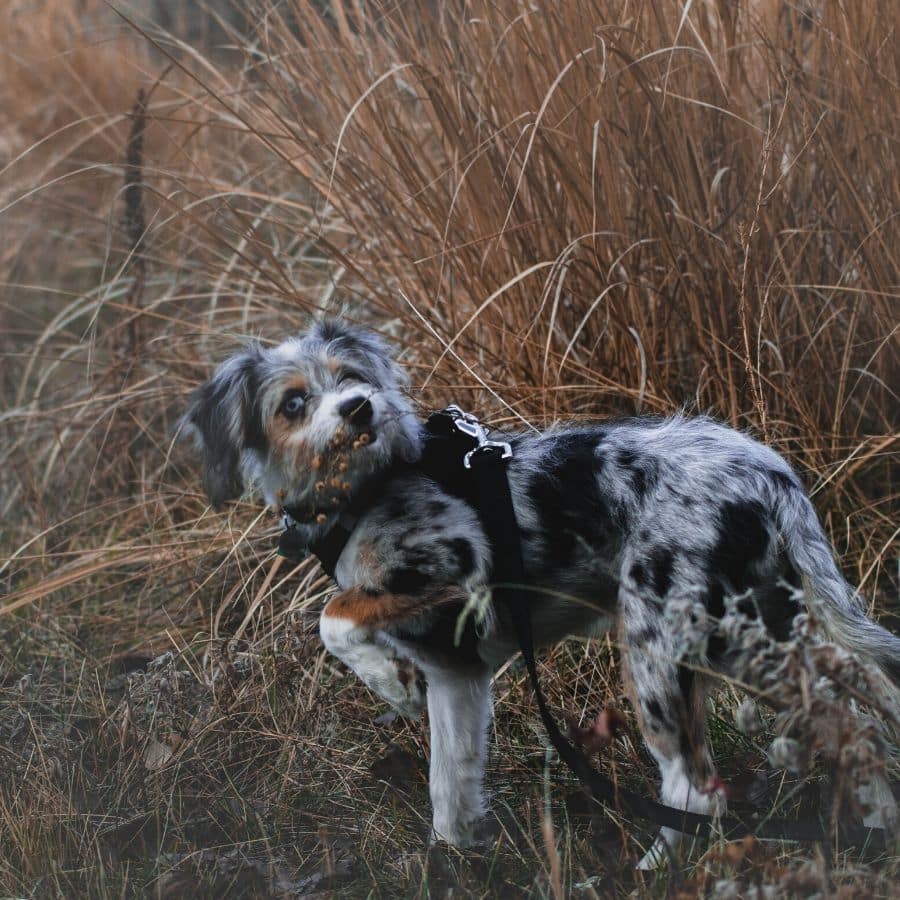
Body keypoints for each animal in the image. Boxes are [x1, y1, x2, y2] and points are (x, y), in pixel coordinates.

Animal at [185, 316, 900, 864]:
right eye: (294, 403)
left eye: (352, 378)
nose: (361, 407)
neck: (365, 489)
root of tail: (772, 473)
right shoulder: (457, 674)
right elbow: (450, 785)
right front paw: (462, 859)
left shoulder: (455, 559)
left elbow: (335, 615)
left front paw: (387, 681)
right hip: (751, 635)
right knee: (856, 723)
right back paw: (876, 829)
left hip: (664, 649)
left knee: (696, 787)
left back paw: (655, 871)